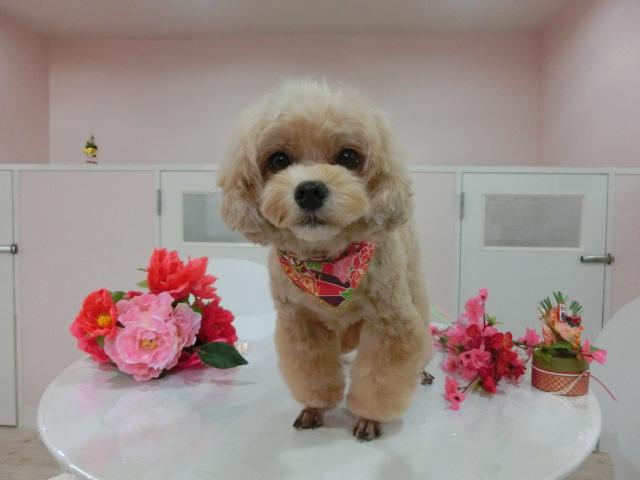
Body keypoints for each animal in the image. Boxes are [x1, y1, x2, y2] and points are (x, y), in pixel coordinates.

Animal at [219, 79, 432, 440]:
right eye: (278, 160)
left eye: (348, 156)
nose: (309, 190)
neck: (326, 266)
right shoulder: (300, 323)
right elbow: (313, 372)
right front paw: (315, 408)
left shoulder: (390, 323)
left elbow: (380, 378)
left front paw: (369, 417)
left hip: (414, 282)